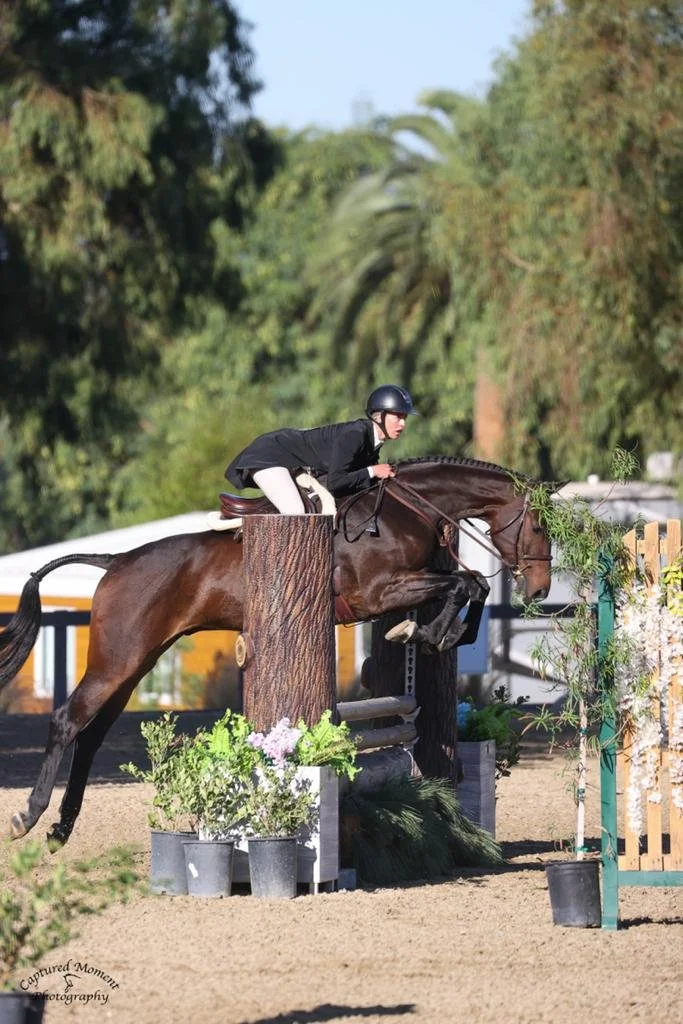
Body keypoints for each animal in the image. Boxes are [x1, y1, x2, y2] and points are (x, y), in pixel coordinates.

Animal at [0, 456, 552, 846]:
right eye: (539, 526)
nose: (542, 590)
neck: (405, 509)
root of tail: (114, 561)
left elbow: (472, 583)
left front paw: (434, 634)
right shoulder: (378, 593)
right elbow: (463, 583)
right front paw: (423, 632)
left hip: (136, 664)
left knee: (91, 736)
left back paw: (61, 829)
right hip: (118, 660)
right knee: (67, 721)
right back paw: (29, 817)